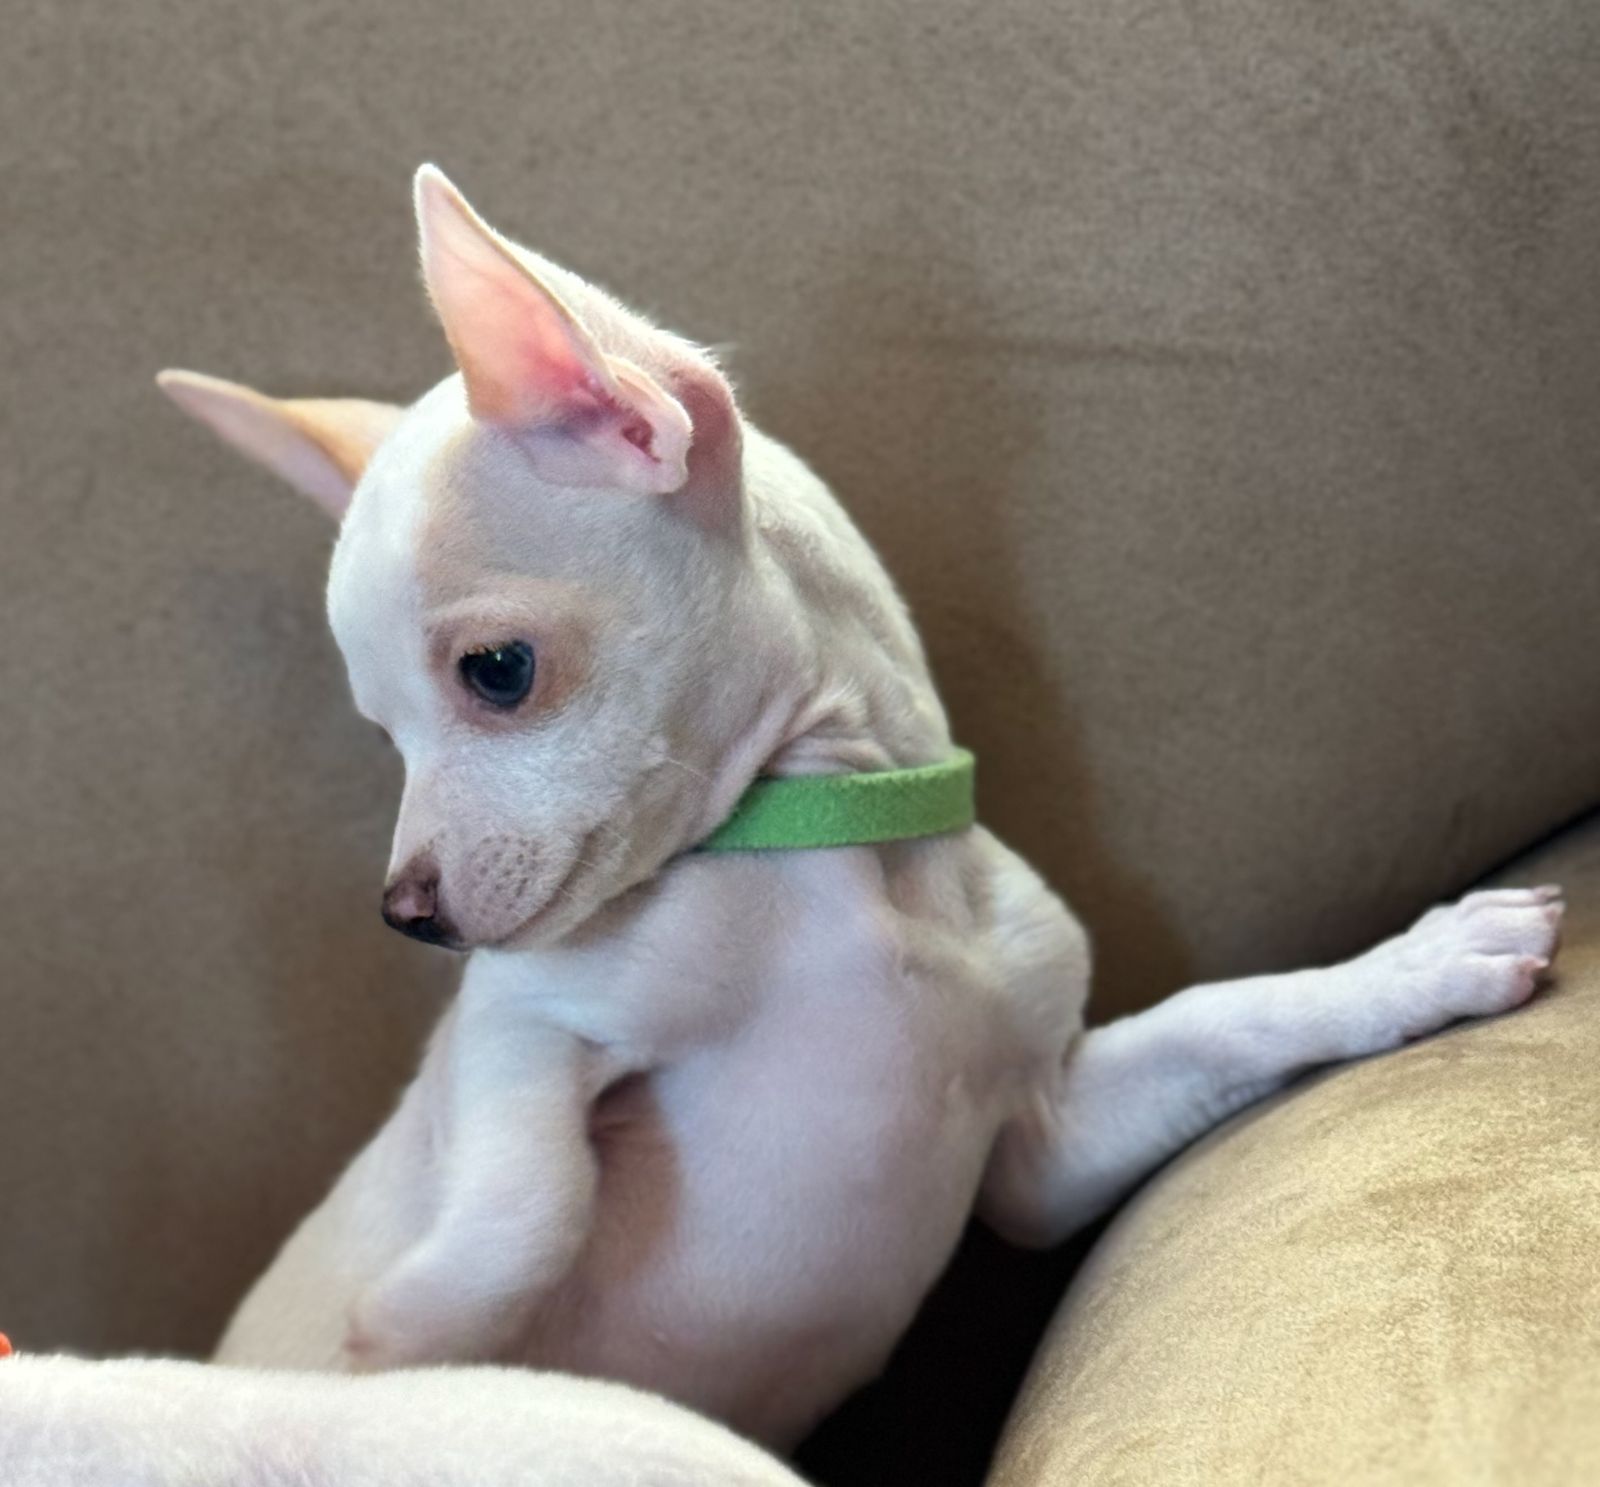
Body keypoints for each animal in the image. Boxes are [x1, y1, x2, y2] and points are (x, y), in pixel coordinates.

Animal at [153, 165, 1564, 1449]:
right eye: (382, 736)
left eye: (496, 671)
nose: (408, 913)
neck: (838, 850)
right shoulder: (525, 1022)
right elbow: (527, 1196)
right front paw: (416, 1320)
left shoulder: (1041, 1149)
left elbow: (1226, 1016)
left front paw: (1414, 962)